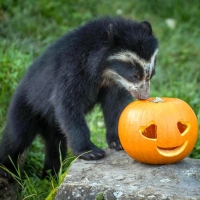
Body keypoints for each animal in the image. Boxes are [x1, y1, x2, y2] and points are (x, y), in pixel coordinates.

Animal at [0, 16, 159, 179]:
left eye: (151, 75)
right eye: (134, 75)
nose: (144, 96)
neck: (103, 71)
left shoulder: (113, 84)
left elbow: (115, 105)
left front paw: (118, 141)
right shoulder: (72, 71)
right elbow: (68, 104)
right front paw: (91, 152)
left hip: (52, 124)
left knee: (55, 144)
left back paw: (50, 175)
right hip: (26, 106)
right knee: (16, 137)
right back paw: (6, 170)